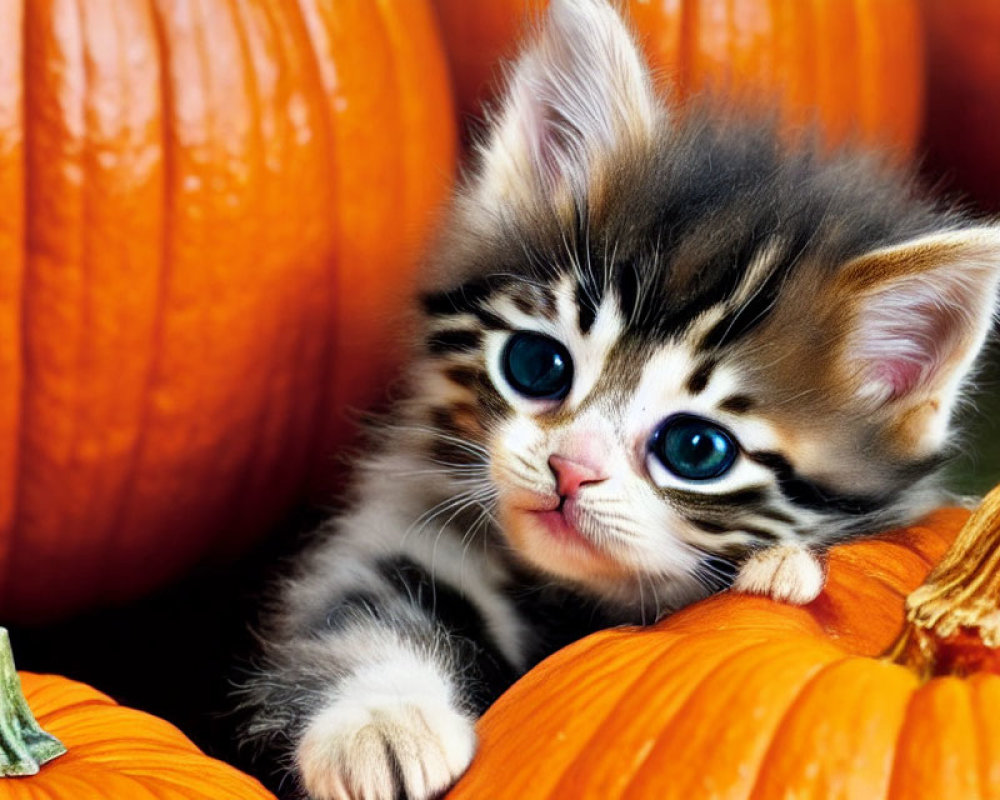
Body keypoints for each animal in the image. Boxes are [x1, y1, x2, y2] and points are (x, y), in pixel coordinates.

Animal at [240, 1, 1000, 800]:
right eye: (538, 364)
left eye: (695, 448)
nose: (571, 469)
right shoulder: (403, 520)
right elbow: (359, 607)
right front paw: (380, 722)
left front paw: (781, 568)